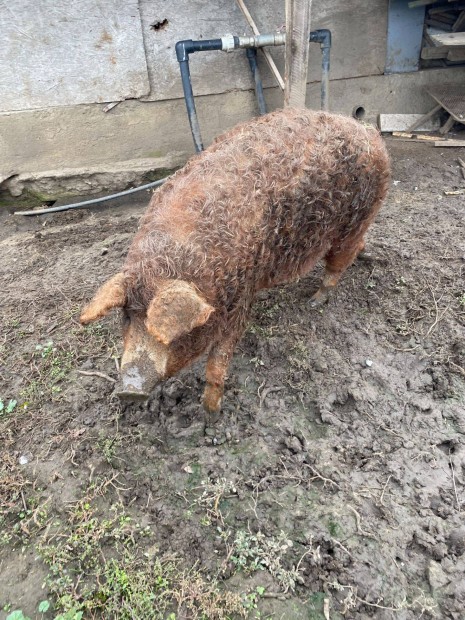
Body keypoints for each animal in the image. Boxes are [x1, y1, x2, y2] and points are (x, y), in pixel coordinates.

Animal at [81, 108, 390, 416]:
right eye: (127, 316)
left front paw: (211, 412)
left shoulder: (239, 298)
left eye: (171, 334)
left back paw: (314, 301)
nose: (129, 389)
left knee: (339, 261)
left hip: (356, 219)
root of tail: (366, 130)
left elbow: (219, 361)